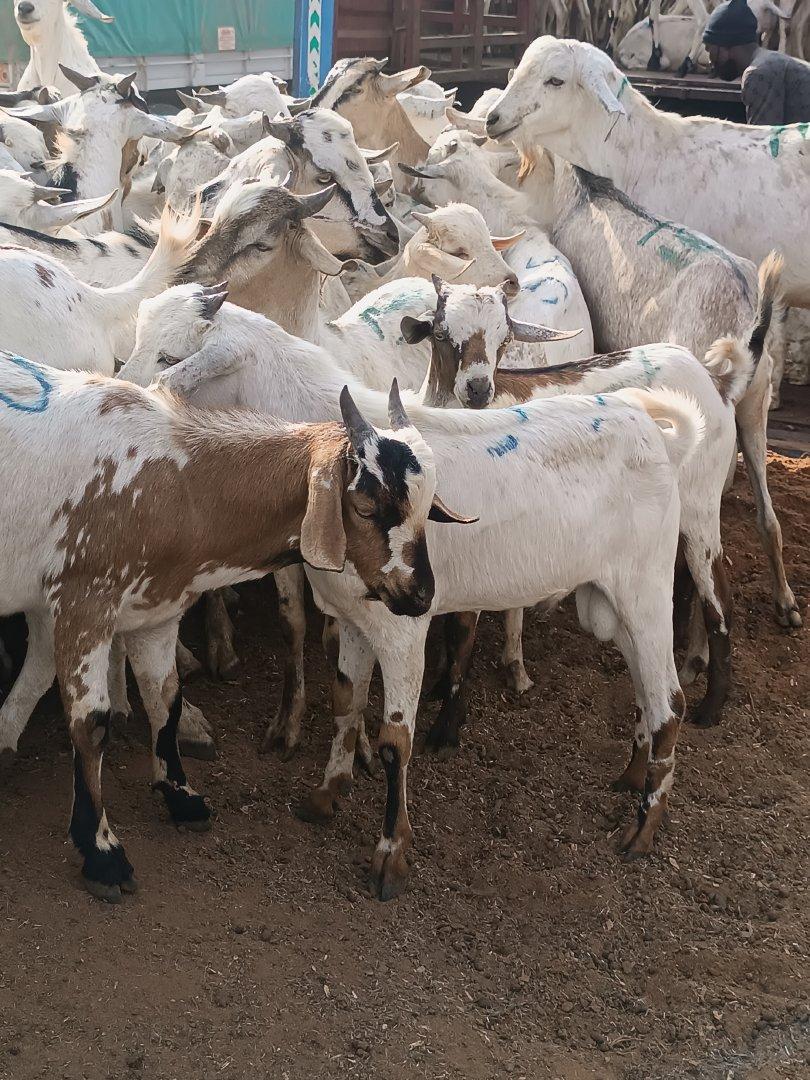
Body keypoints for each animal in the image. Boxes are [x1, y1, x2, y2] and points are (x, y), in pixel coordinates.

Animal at [131, 286, 702, 899]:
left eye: (169, 356)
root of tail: (657, 434)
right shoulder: (353, 618)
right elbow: (345, 702)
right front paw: (327, 794)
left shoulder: (404, 627)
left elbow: (394, 741)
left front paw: (390, 855)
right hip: (612, 603)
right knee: (646, 691)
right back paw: (633, 777)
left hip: (646, 588)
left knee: (671, 701)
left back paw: (642, 830)